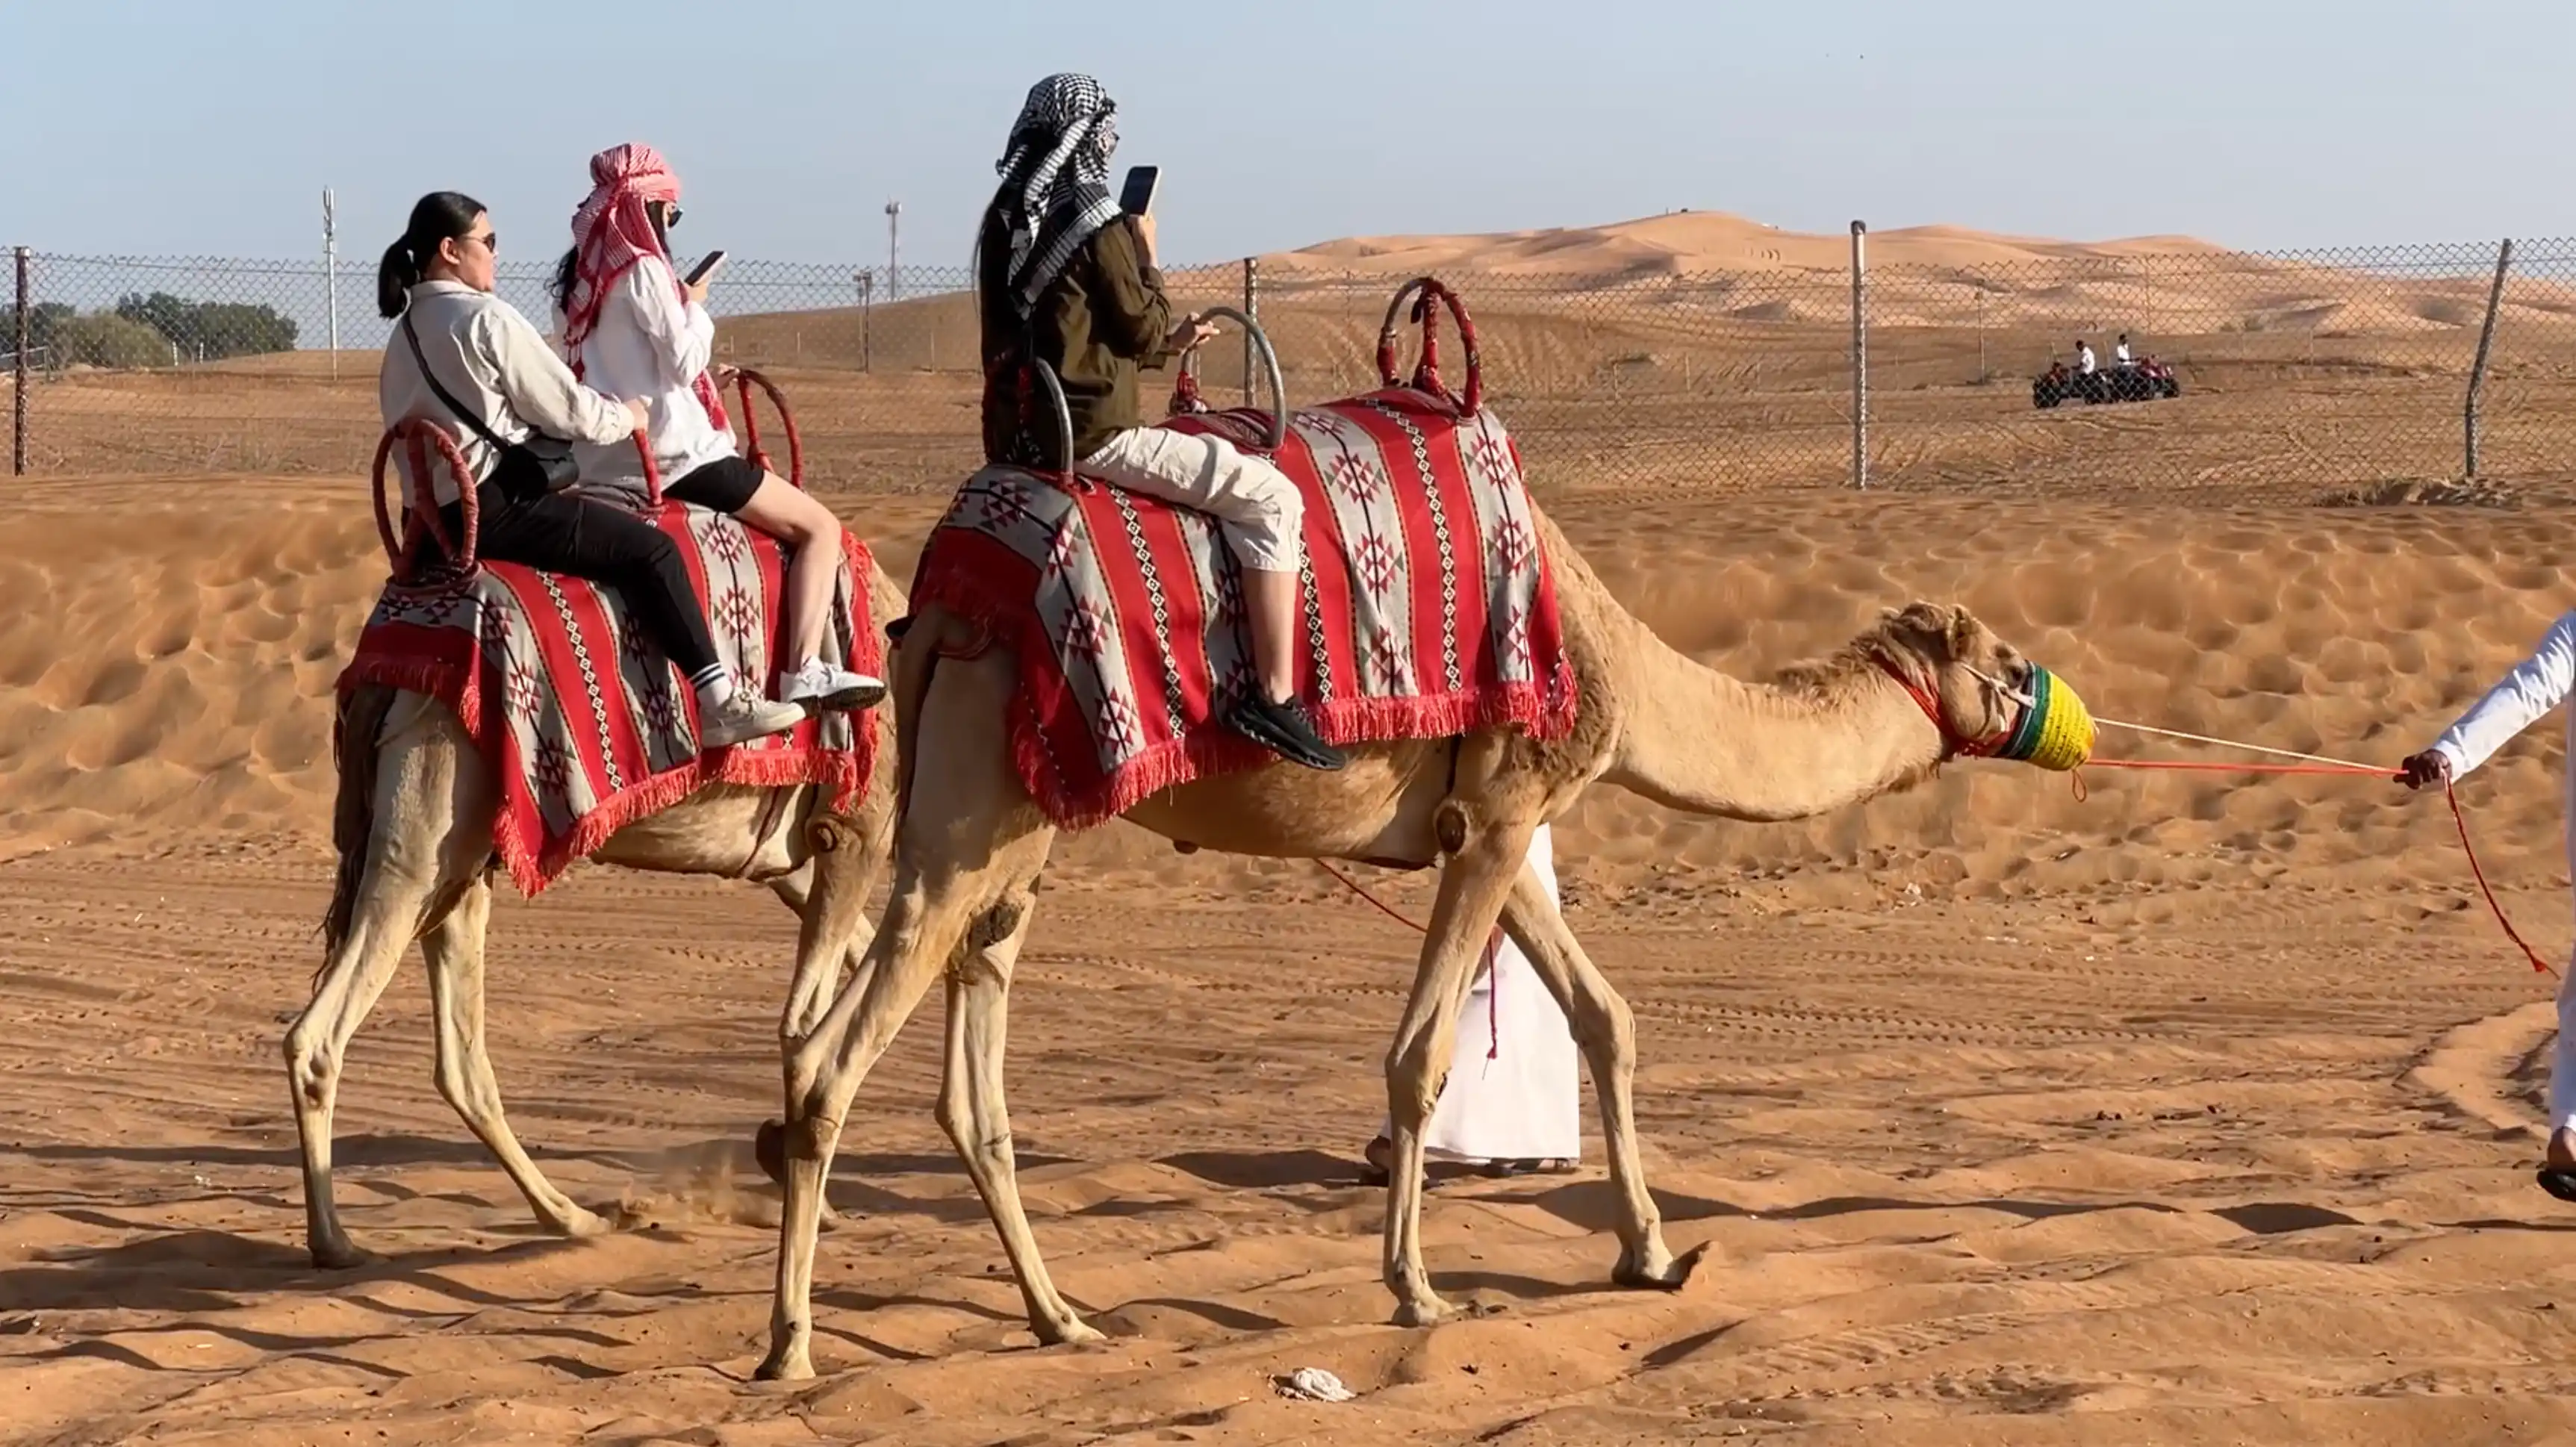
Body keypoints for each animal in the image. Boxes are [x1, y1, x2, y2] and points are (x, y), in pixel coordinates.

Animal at [284, 559, 906, 1270]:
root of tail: (379, 665)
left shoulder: (797, 864)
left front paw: (788, 1156)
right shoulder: (854, 830)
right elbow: (814, 1016)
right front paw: (803, 1178)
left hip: (460, 857)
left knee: (461, 1059)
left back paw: (573, 1217)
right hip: (427, 814)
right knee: (319, 1035)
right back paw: (335, 1242)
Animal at [749, 504, 2067, 1380]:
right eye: (2001, 663)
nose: (2059, 708)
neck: (1619, 666)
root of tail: (933, 614)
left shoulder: (1496, 821)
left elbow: (1604, 1016)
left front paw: (1651, 1253)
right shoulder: (1504, 809)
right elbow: (1420, 1057)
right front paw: (1418, 1290)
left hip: (1004, 832)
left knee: (946, 1070)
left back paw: (1060, 1318)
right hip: (972, 818)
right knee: (834, 1058)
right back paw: (791, 1347)